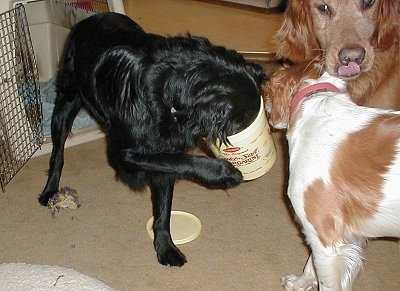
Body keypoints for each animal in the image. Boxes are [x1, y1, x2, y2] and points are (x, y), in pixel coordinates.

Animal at [39, 12, 266, 268]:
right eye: (243, 123)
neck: (171, 88)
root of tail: (90, 17)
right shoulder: (123, 155)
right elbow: (181, 162)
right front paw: (225, 173)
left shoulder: (165, 150)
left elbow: (164, 205)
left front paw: (165, 247)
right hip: (66, 102)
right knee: (57, 153)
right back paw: (49, 190)